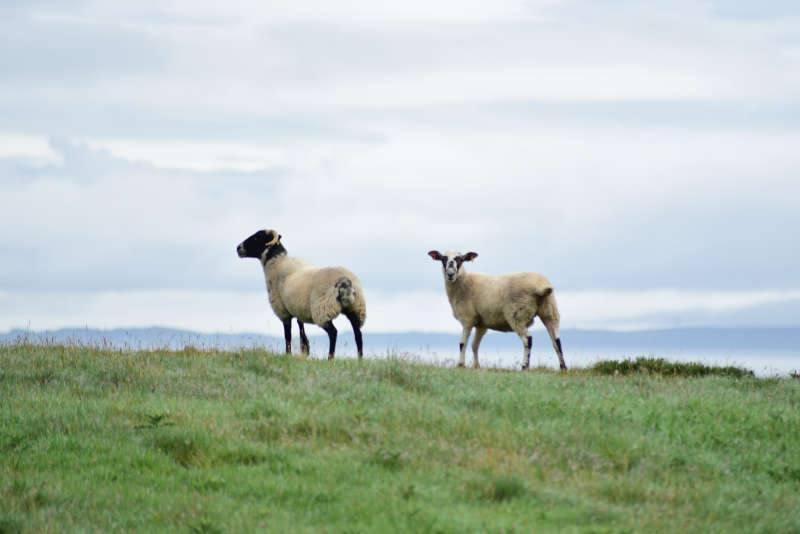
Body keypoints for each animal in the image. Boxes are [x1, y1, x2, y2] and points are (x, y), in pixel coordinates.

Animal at [234, 229, 366, 360]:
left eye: (257, 237)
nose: (238, 248)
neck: (277, 263)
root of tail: (345, 282)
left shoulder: (283, 312)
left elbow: (288, 335)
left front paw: (288, 354)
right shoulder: (298, 309)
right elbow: (301, 329)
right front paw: (305, 351)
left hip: (323, 310)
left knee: (333, 333)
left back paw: (330, 358)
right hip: (355, 309)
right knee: (358, 334)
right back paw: (360, 359)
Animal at [428, 251, 564, 372]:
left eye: (460, 259)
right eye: (443, 259)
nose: (450, 274)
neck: (464, 282)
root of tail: (540, 287)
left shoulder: (467, 319)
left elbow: (463, 343)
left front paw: (461, 365)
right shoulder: (481, 324)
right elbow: (474, 345)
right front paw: (476, 366)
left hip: (517, 316)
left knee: (527, 340)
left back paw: (524, 366)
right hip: (550, 311)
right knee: (556, 340)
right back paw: (563, 367)